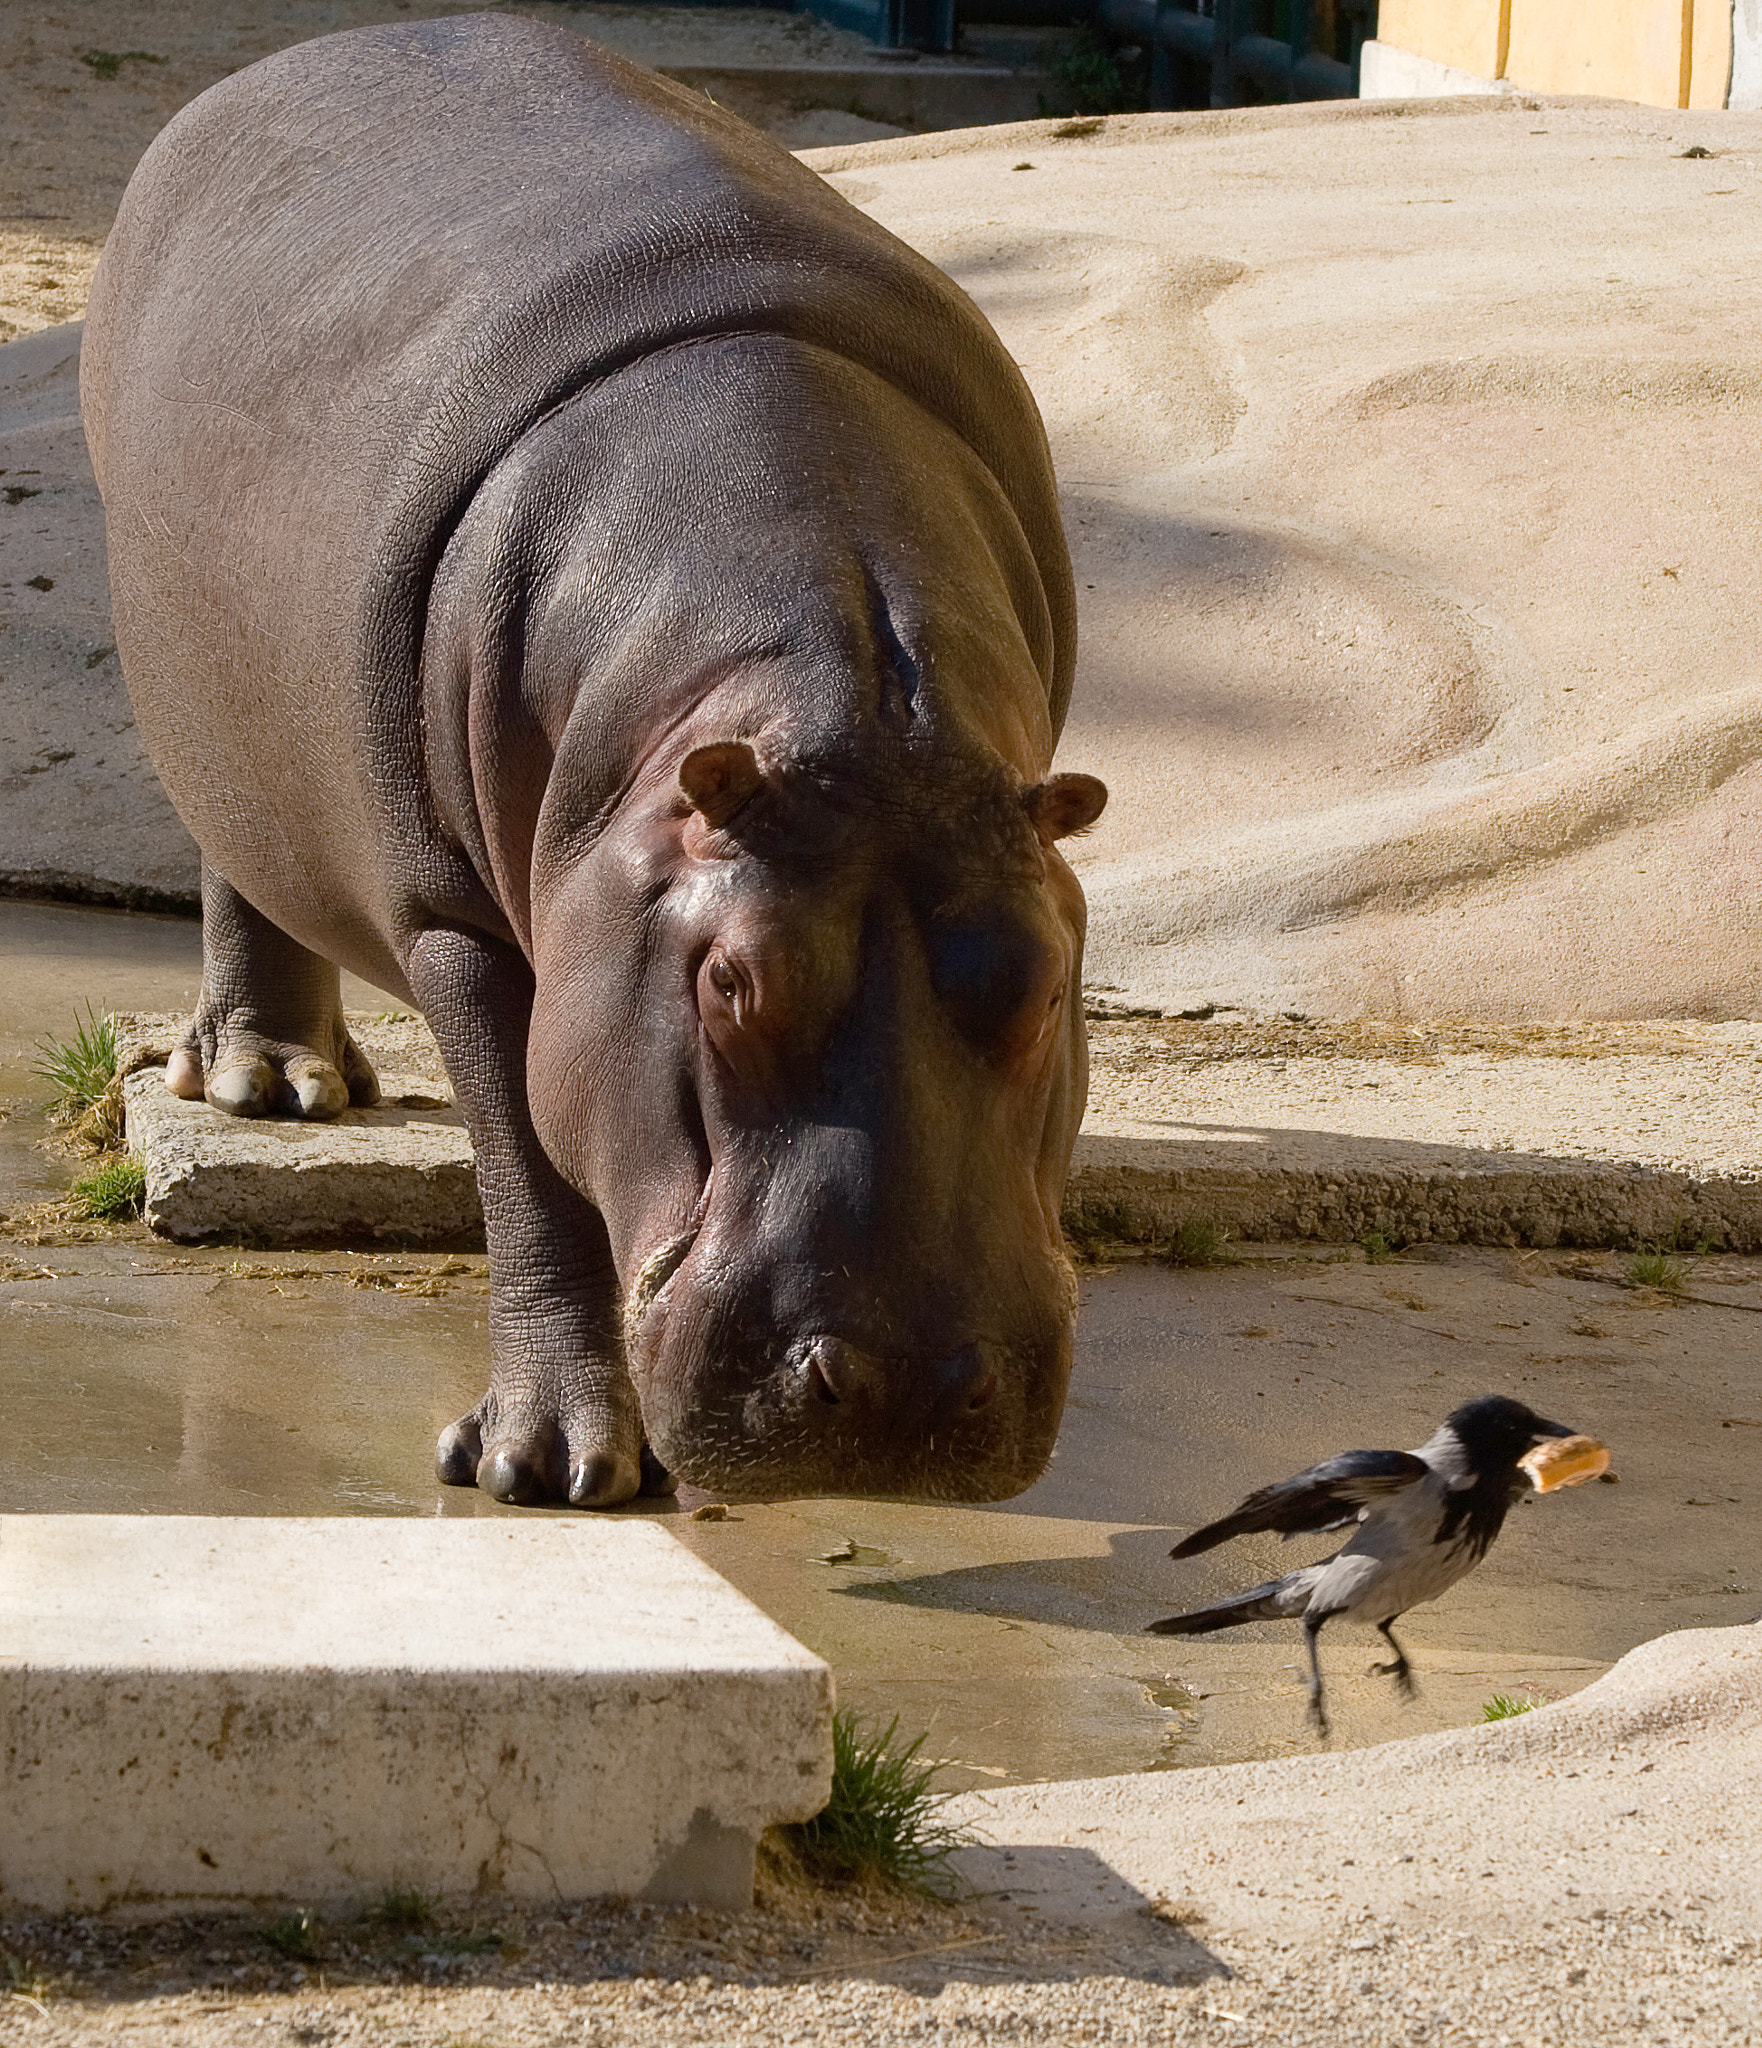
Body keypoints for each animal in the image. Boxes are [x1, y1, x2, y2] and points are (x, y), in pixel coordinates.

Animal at [80, 13, 1106, 1508]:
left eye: (1039, 983)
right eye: (729, 982)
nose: (902, 1392)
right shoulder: (456, 920)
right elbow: (532, 1174)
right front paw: (546, 1464)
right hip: (209, 705)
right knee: (240, 856)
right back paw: (269, 1086)